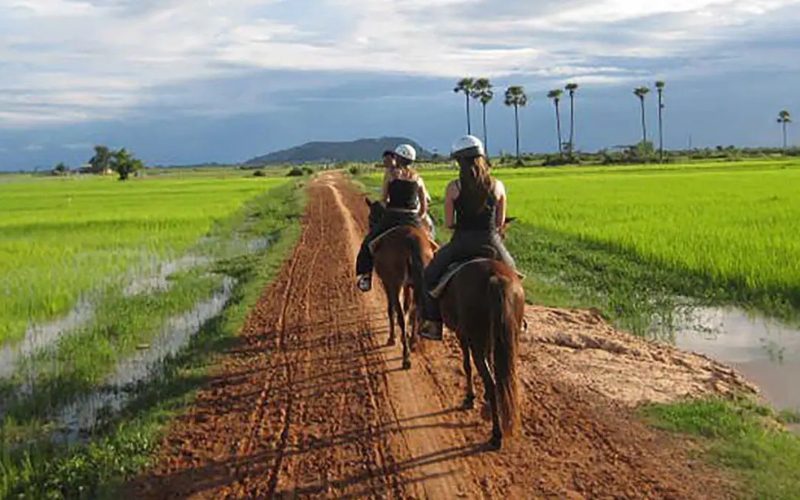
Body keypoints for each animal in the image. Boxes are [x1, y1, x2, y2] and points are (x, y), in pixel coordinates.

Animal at [366, 199, 434, 368]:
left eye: (371, 217)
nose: (370, 227)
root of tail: (411, 240)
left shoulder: (388, 283)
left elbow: (392, 309)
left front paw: (392, 338)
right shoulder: (408, 285)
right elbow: (408, 306)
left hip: (395, 284)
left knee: (402, 315)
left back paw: (406, 356)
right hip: (417, 283)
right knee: (417, 310)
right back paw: (413, 342)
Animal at [438, 256, 524, 448]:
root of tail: (497, 278)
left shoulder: (463, 335)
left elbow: (467, 365)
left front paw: (470, 397)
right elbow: (490, 361)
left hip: (475, 338)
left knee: (491, 383)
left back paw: (496, 434)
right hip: (509, 340)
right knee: (505, 379)